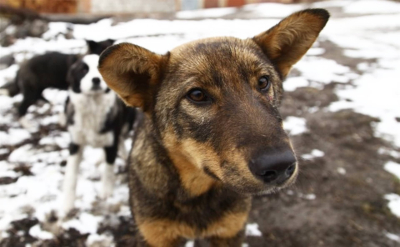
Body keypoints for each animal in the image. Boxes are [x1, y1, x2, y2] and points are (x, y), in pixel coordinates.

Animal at [61, 53, 135, 214]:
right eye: (83, 70)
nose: (96, 79)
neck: (92, 106)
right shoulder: (75, 143)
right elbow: (71, 174)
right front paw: (67, 203)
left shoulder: (111, 141)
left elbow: (108, 169)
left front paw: (106, 192)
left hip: (127, 121)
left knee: (120, 137)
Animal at [97, 8, 328, 247]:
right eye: (197, 95)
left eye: (263, 82)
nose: (280, 165)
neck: (197, 192)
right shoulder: (156, 237)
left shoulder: (230, 232)